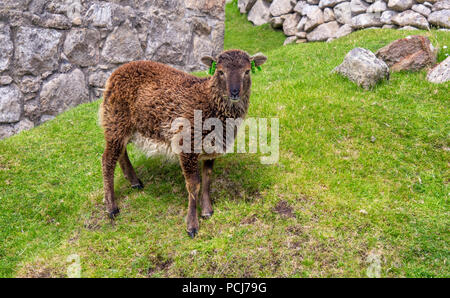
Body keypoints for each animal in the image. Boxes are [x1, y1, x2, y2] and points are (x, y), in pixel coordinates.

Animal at [99, 50, 268, 239]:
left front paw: (207, 210)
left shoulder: (211, 147)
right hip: (114, 118)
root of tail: (115, 72)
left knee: (121, 152)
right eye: (220, 72)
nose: (234, 92)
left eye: (247, 71)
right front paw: (192, 225)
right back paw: (111, 207)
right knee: (107, 160)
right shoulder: (187, 144)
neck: (208, 100)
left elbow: (207, 179)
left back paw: (135, 182)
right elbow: (194, 185)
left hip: (125, 125)